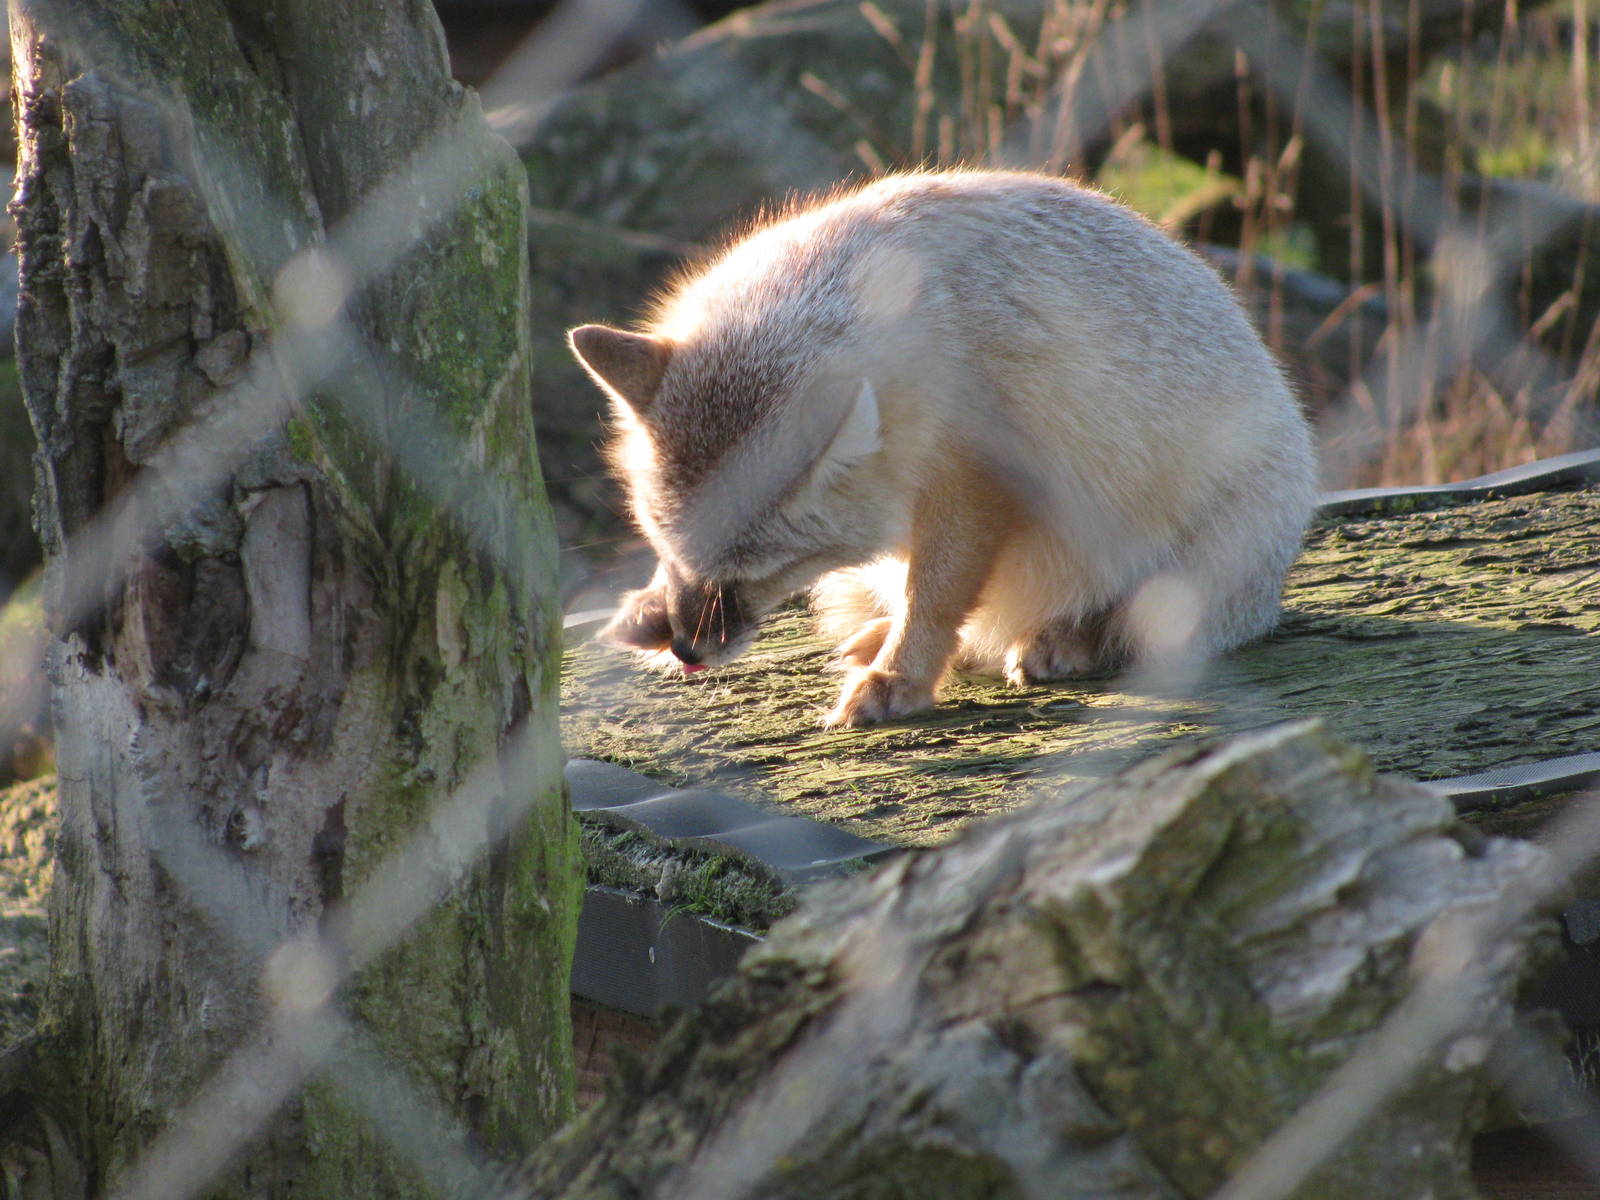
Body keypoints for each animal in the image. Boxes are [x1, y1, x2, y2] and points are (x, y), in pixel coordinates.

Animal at [569, 169, 1316, 728]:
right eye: (663, 545)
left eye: (755, 569)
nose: (687, 649)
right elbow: (922, 597)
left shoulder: (975, 483)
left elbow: (934, 596)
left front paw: (900, 677)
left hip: (1179, 574)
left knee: (1127, 627)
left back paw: (1062, 639)